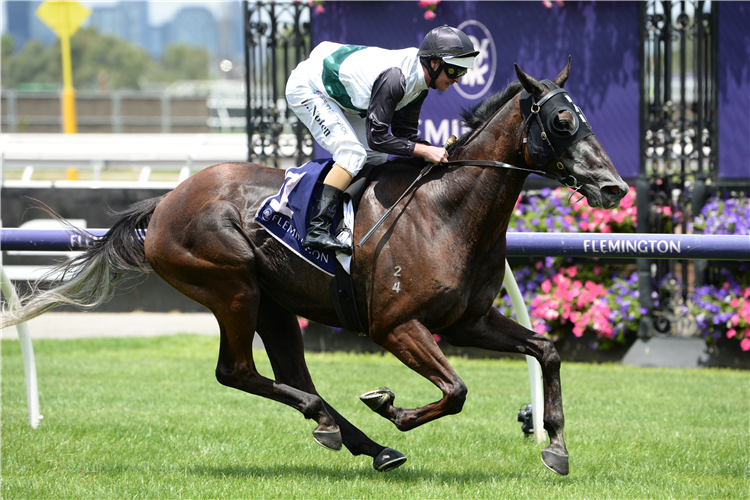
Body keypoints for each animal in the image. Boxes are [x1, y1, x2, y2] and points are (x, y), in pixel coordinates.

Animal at [1, 60, 628, 474]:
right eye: (563, 122)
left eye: (585, 118)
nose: (614, 187)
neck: (445, 211)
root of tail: (166, 202)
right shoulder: (394, 326)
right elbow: (455, 390)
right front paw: (391, 406)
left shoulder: (467, 321)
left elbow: (545, 350)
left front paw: (555, 445)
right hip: (231, 287)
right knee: (238, 372)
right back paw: (339, 425)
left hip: (274, 305)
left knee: (292, 375)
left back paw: (367, 443)